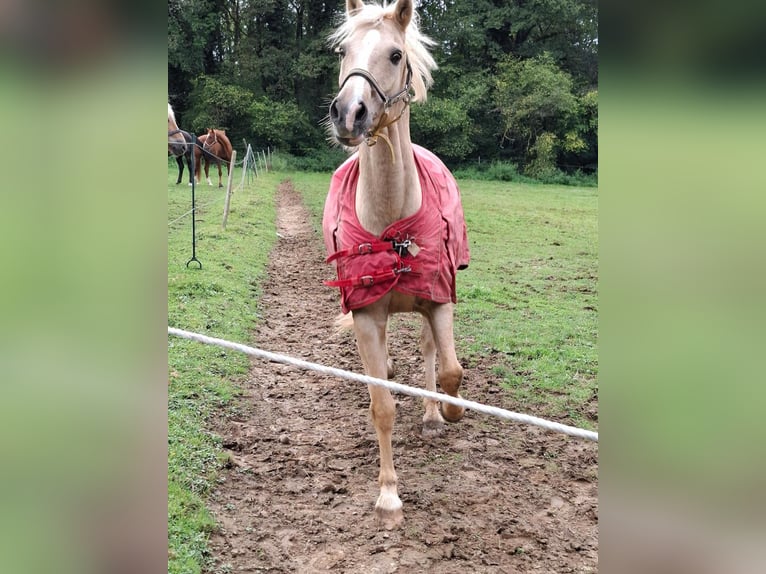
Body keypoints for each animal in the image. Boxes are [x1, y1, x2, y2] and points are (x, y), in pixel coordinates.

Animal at [322, 0, 472, 532]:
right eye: (343, 51)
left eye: (395, 54)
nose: (349, 112)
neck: (392, 223)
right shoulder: (367, 314)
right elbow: (382, 406)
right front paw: (388, 496)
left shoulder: (440, 301)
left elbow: (450, 370)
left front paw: (448, 412)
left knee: (430, 354)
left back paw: (431, 413)